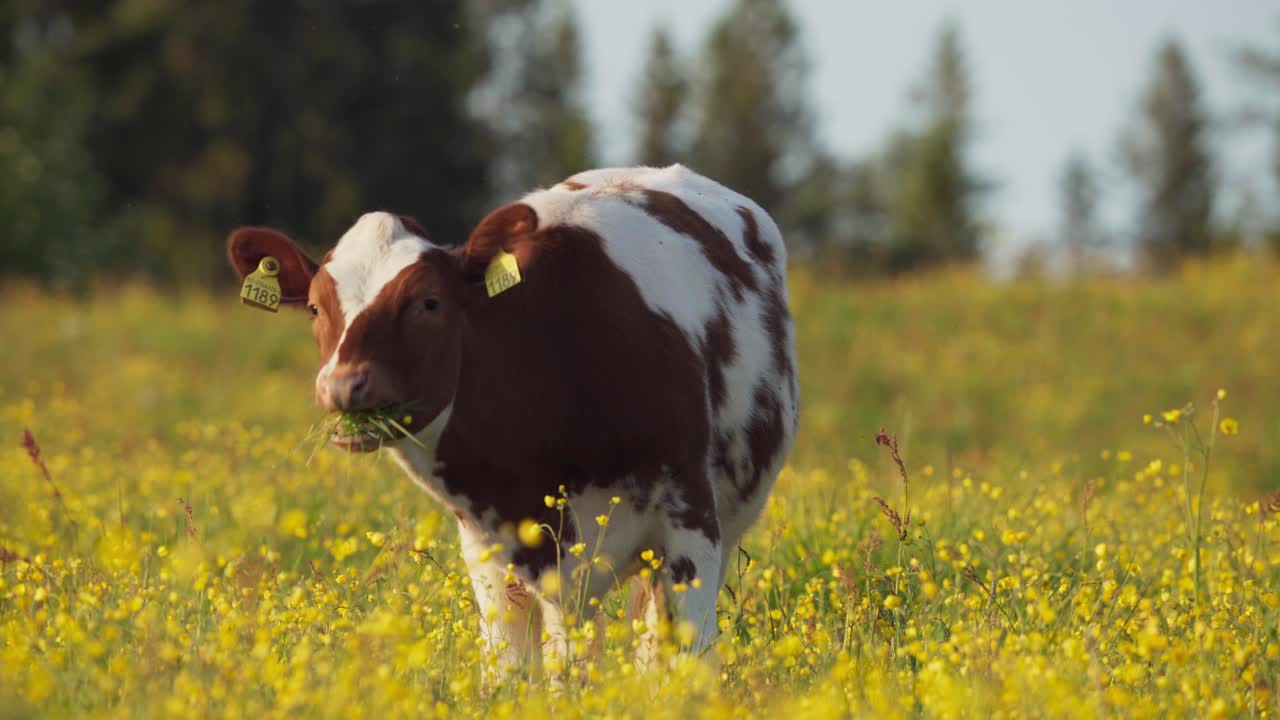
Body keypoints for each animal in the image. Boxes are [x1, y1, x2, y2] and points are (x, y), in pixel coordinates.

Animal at [227, 164, 799, 680]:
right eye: (316, 309)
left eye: (429, 302)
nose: (342, 385)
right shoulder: (494, 551)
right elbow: (518, 674)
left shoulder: (691, 521)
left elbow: (684, 662)